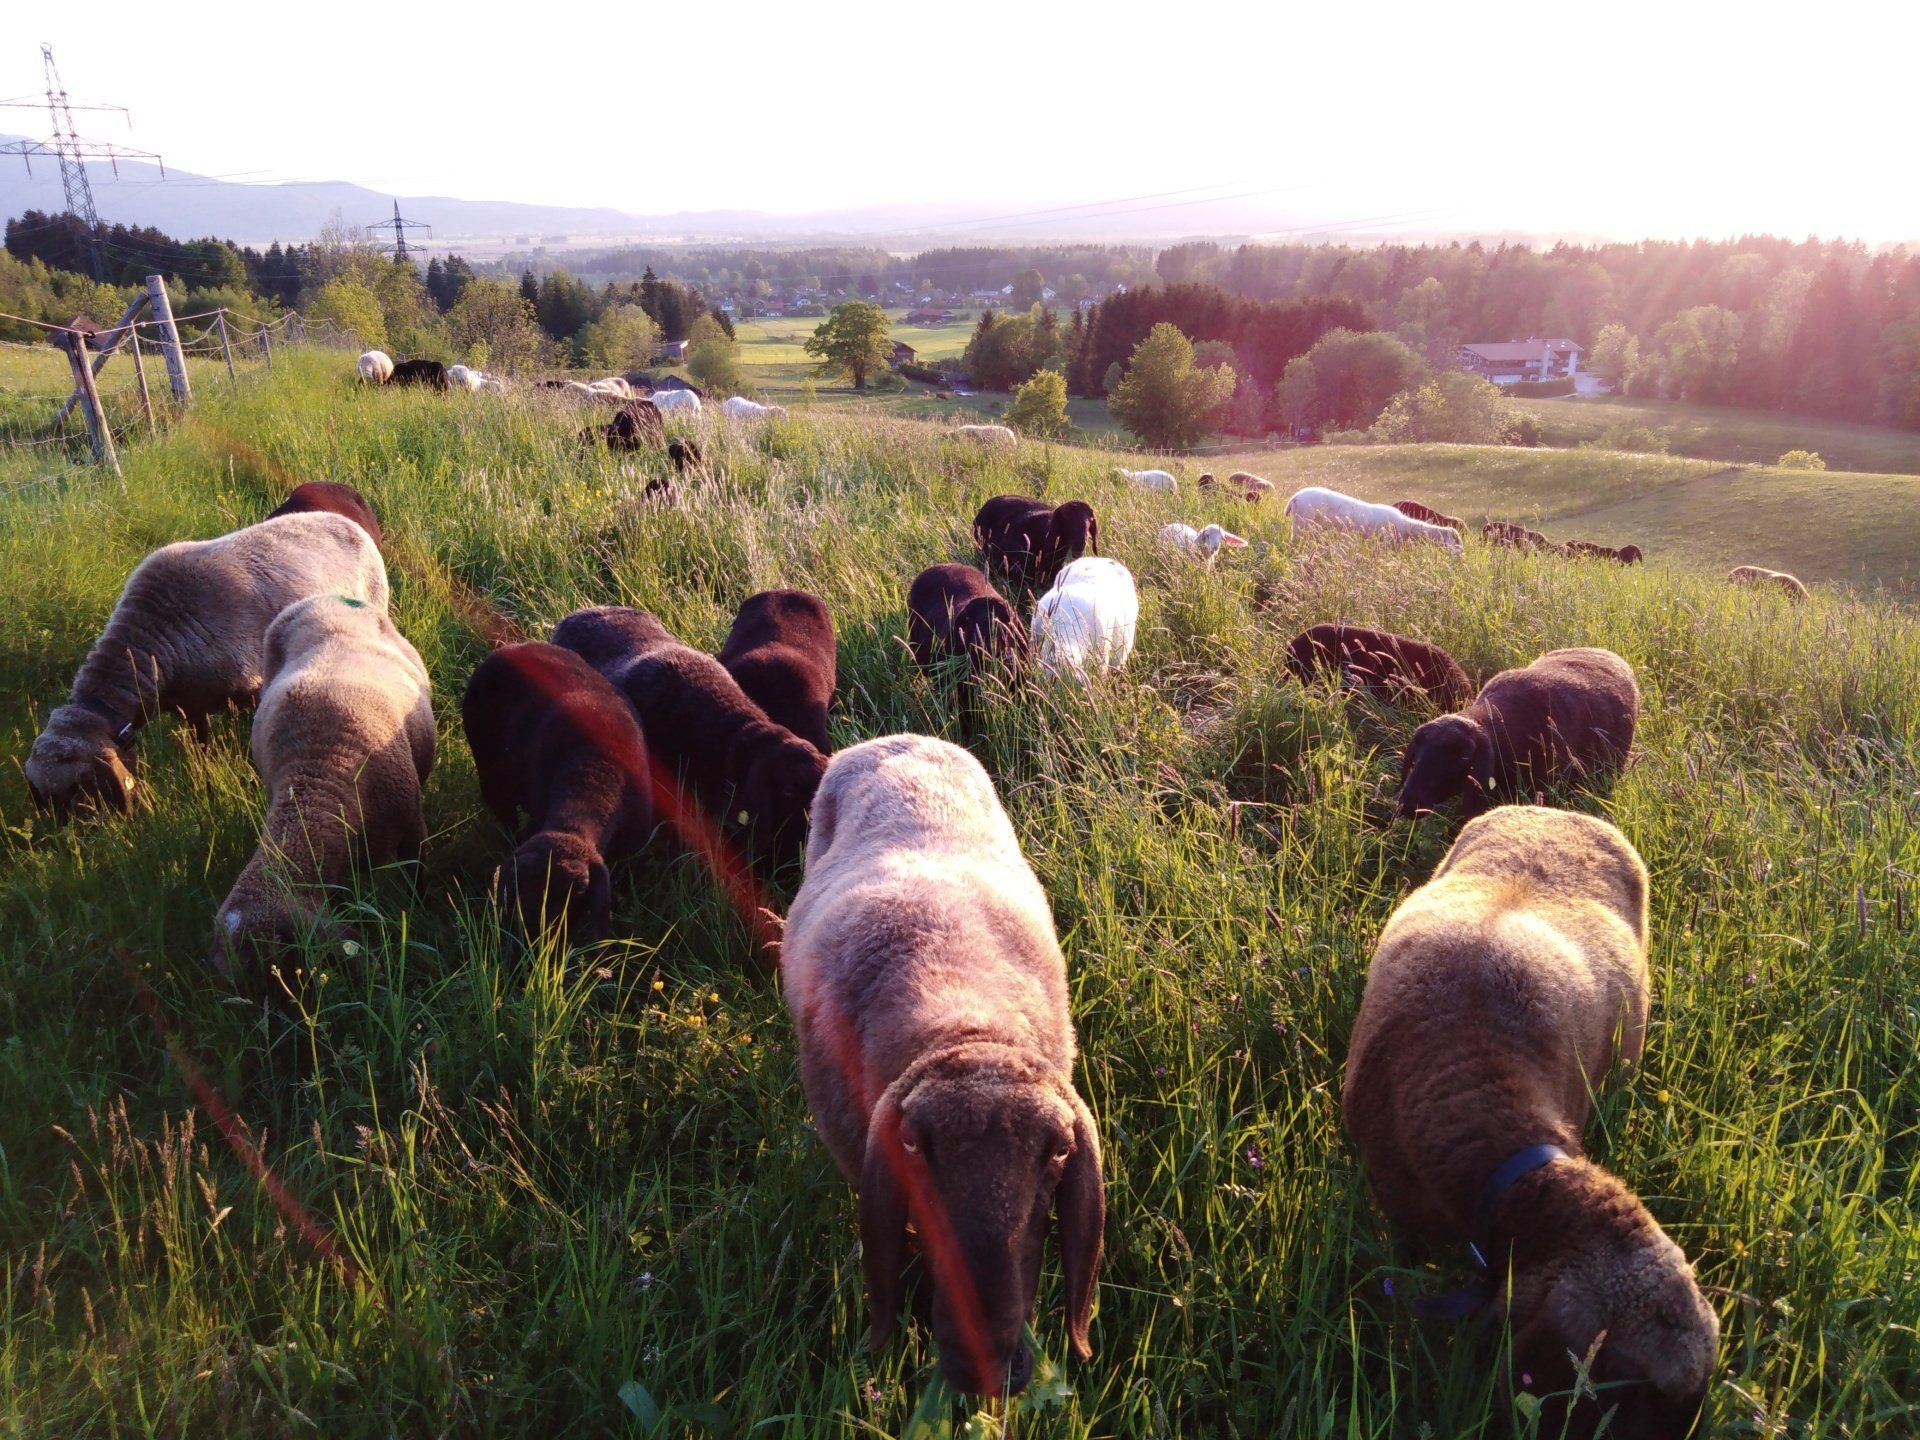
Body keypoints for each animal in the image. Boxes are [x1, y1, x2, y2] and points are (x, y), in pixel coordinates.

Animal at [25, 513, 388, 816]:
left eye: (80, 786)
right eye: (43, 796)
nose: (85, 841)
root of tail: (344, 518)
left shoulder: (254, 689)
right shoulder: (192, 707)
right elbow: (203, 748)